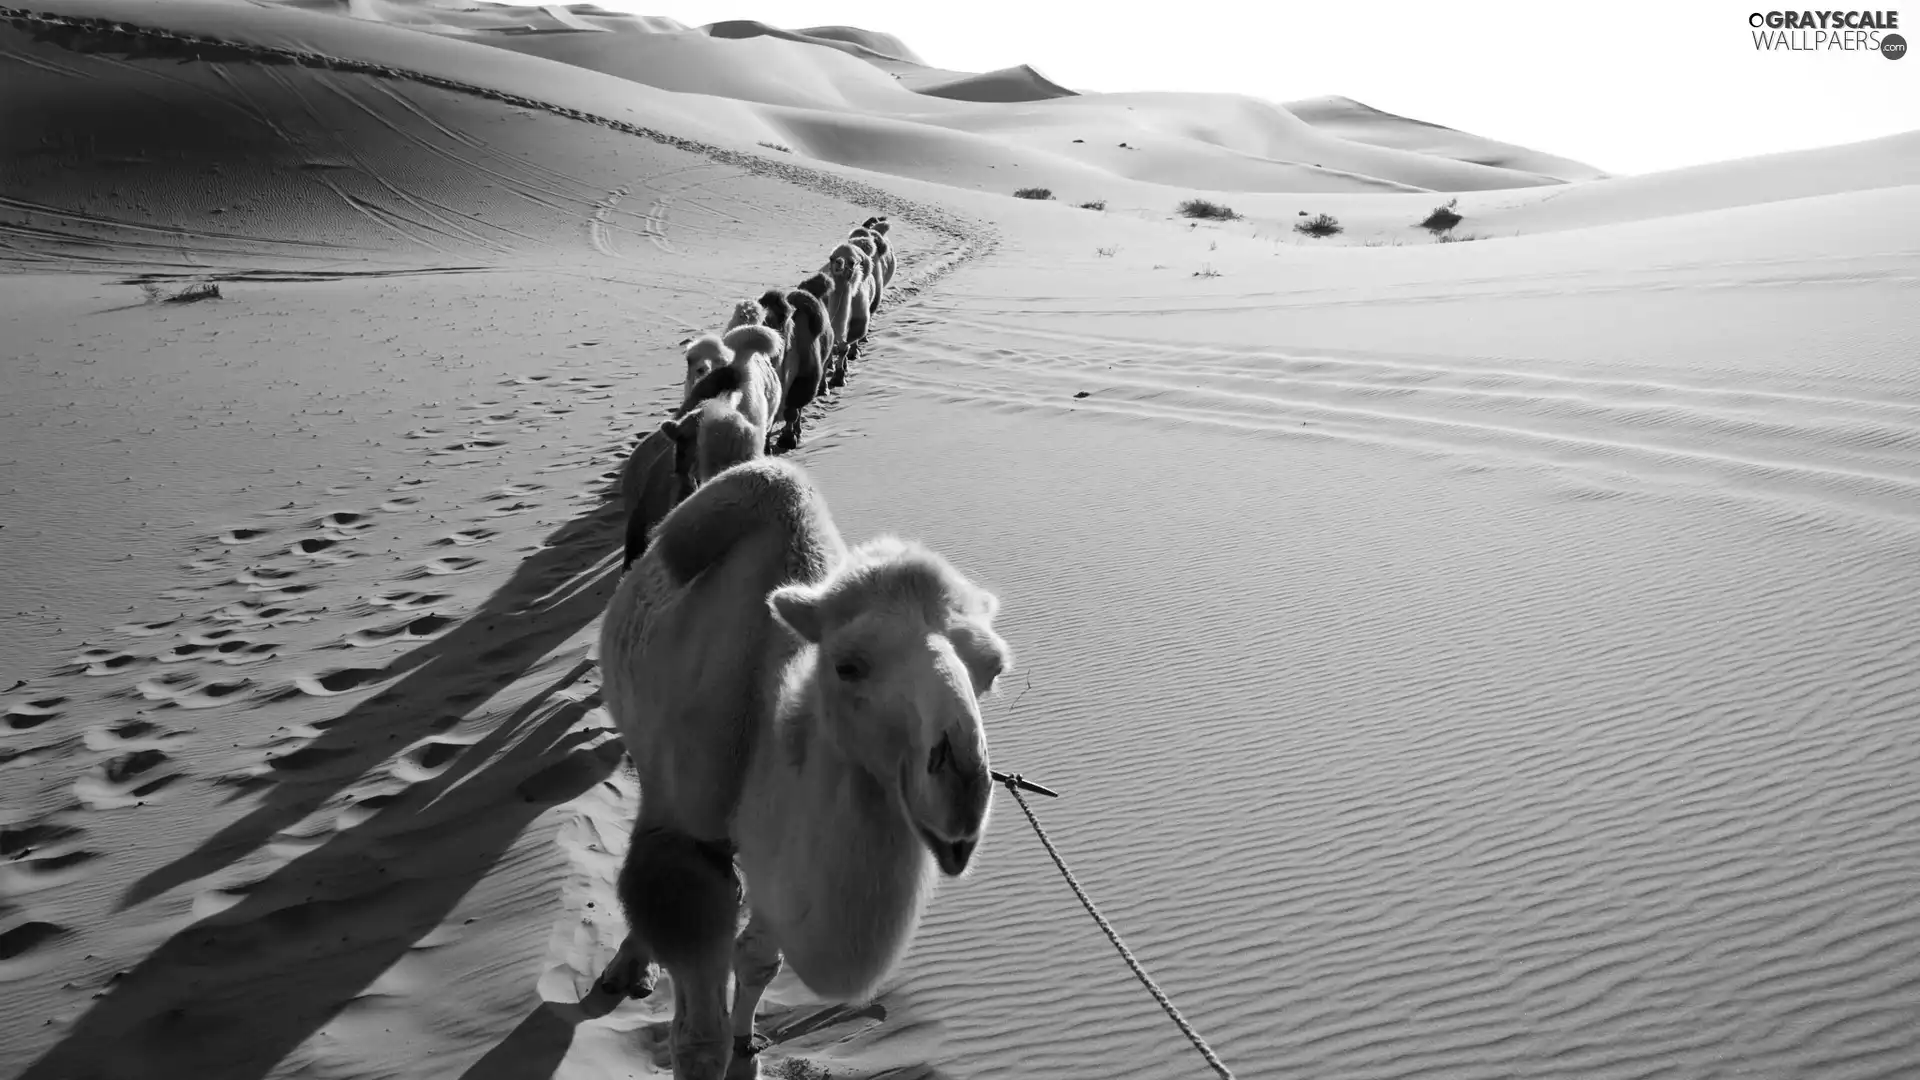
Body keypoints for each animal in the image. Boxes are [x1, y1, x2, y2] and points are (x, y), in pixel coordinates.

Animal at [595, 457, 1021, 1076]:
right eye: (847, 666)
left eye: (992, 669)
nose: (962, 785)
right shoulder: (690, 843)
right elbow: (698, 1039)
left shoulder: (777, 857)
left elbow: (757, 960)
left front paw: (747, 1052)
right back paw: (627, 969)